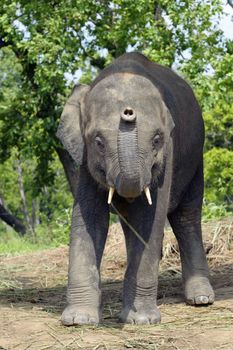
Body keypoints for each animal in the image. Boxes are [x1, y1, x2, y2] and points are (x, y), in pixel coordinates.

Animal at [57, 52, 215, 326]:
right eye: (98, 141)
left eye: (157, 139)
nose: (128, 112)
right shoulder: (85, 159)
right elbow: (90, 219)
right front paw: (79, 320)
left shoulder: (168, 153)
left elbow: (148, 219)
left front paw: (141, 321)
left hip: (195, 159)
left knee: (186, 217)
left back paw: (201, 299)